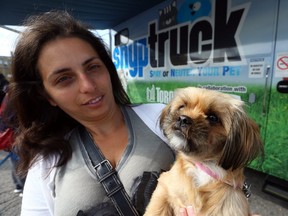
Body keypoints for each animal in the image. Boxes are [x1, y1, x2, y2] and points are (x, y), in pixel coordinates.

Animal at [144, 87, 264, 215]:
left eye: (213, 118)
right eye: (182, 106)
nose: (183, 119)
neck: (205, 166)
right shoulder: (165, 185)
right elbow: (156, 209)